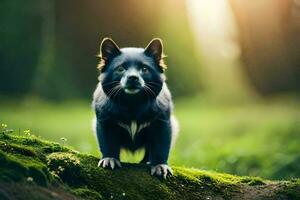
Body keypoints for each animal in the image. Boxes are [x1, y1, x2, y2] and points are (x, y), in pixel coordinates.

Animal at [92, 38, 178, 178]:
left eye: (144, 68)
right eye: (121, 68)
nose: (133, 78)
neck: (132, 104)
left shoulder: (162, 123)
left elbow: (161, 147)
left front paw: (160, 166)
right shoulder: (105, 122)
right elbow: (108, 143)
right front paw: (110, 159)